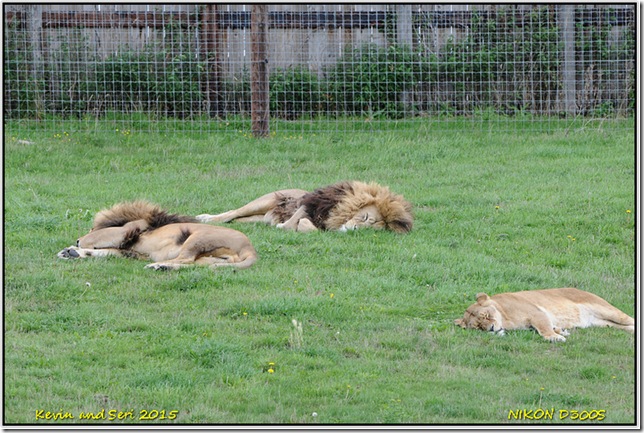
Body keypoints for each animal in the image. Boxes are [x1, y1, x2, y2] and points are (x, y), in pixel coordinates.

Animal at [56, 201, 256, 268]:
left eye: (91, 229)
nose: (77, 240)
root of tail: (250, 249)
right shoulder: (131, 252)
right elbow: (106, 252)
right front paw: (70, 252)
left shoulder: (123, 231)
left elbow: (93, 241)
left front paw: (75, 248)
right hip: (210, 259)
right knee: (192, 264)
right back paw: (162, 267)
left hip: (196, 238)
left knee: (185, 259)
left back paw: (158, 265)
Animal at [452, 286, 632, 340]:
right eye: (478, 327)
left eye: (486, 316)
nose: (490, 328)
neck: (505, 317)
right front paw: (560, 331)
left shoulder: (537, 313)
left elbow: (544, 329)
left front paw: (555, 337)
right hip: (604, 323)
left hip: (609, 311)